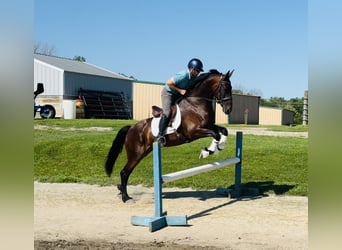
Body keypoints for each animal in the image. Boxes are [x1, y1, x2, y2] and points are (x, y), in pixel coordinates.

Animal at [105, 69, 234, 202]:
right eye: (225, 87)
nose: (228, 109)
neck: (196, 103)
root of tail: (131, 128)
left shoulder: (209, 126)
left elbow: (223, 131)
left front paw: (219, 147)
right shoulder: (193, 132)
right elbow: (215, 134)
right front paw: (207, 152)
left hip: (145, 151)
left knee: (126, 172)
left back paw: (121, 191)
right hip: (136, 154)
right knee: (124, 172)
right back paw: (126, 197)